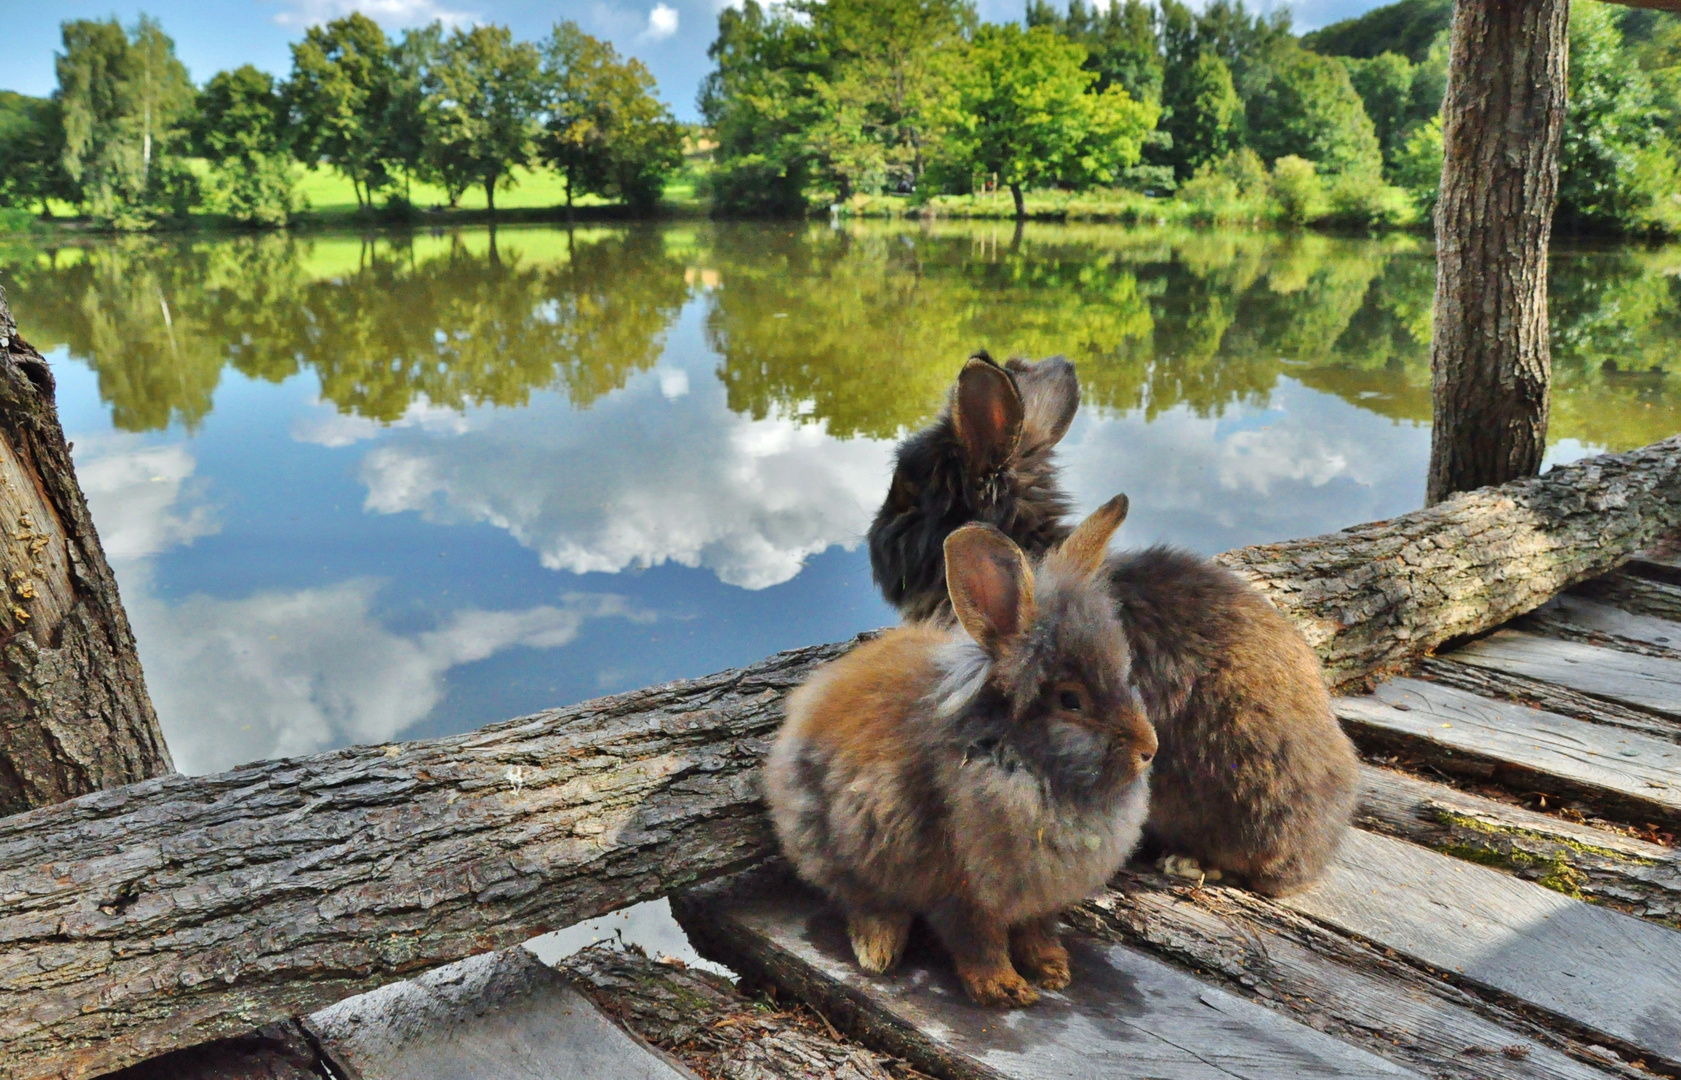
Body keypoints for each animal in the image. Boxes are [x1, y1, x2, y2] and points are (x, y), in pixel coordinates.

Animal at [769, 494, 1156, 1002]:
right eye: (1070, 700)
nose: (1149, 749)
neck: (1022, 766)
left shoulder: (1038, 899)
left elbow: (1037, 930)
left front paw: (1053, 970)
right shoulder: (961, 890)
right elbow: (978, 941)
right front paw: (1004, 990)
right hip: (839, 841)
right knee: (862, 899)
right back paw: (878, 950)